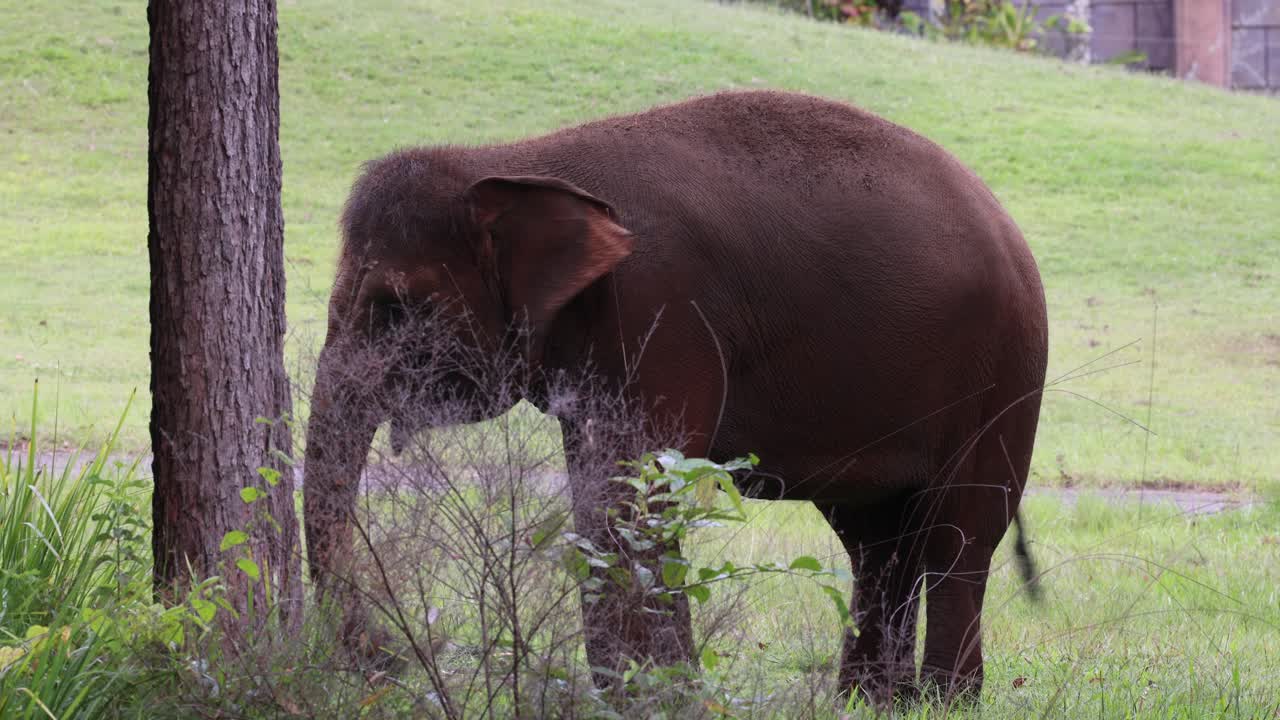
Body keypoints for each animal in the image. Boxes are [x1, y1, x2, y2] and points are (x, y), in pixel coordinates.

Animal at [302, 89, 1048, 703]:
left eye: (395, 308)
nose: (392, 658)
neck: (519, 159)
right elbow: (603, 490)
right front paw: (637, 695)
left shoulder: (661, 304)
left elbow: (631, 497)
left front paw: (662, 697)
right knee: (875, 541)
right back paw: (870, 703)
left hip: (1004, 373)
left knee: (959, 535)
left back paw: (946, 701)